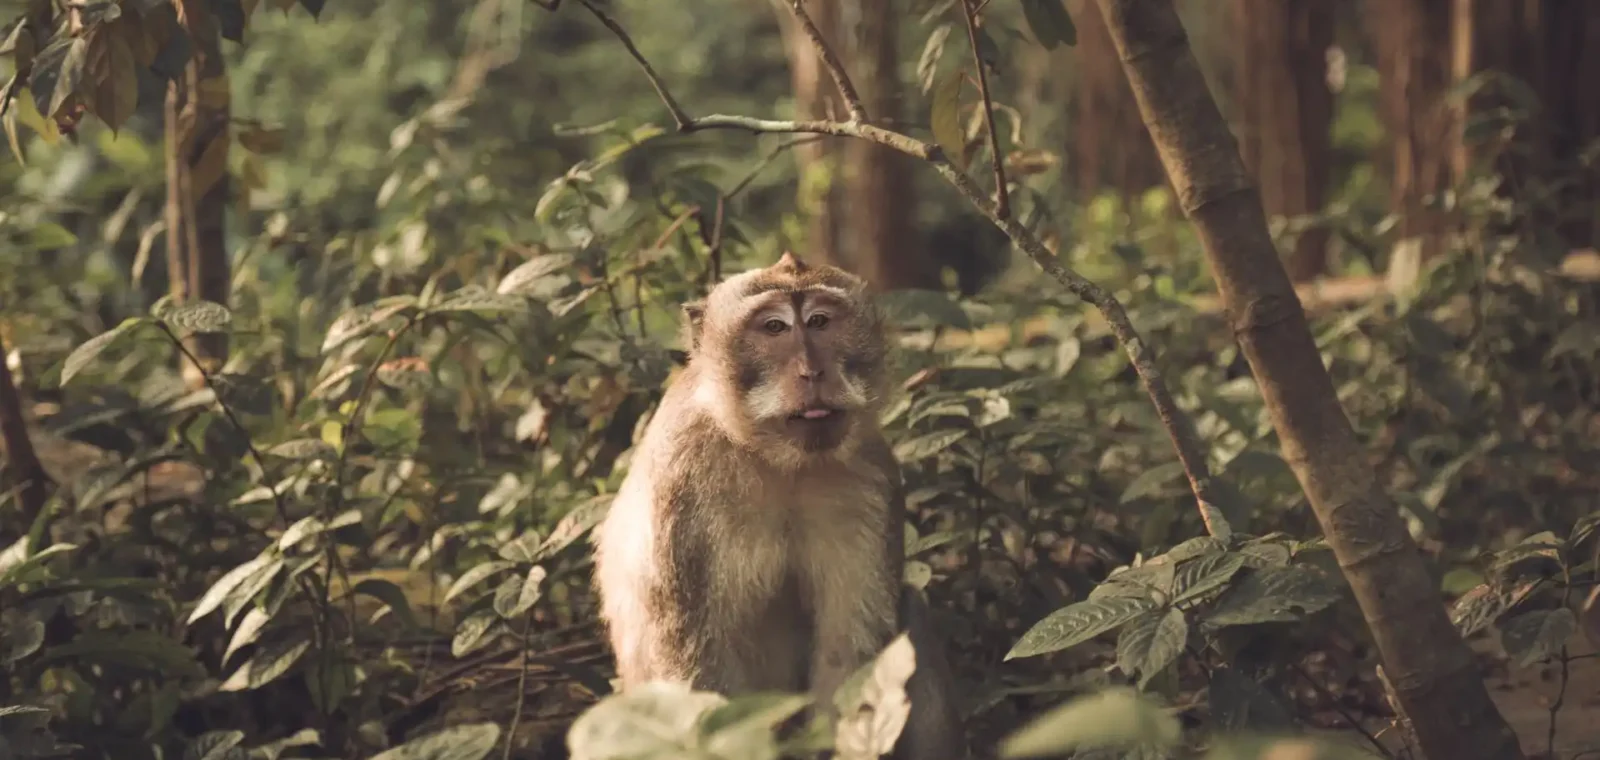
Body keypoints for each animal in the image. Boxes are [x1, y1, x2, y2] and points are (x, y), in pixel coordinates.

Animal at [591, 251, 965, 760]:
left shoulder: (871, 476)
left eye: (820, 321)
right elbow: (694, 664)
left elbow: (847, 656)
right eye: (774, 327)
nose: (812, 372)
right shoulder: (679, 478)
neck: (777, 461)